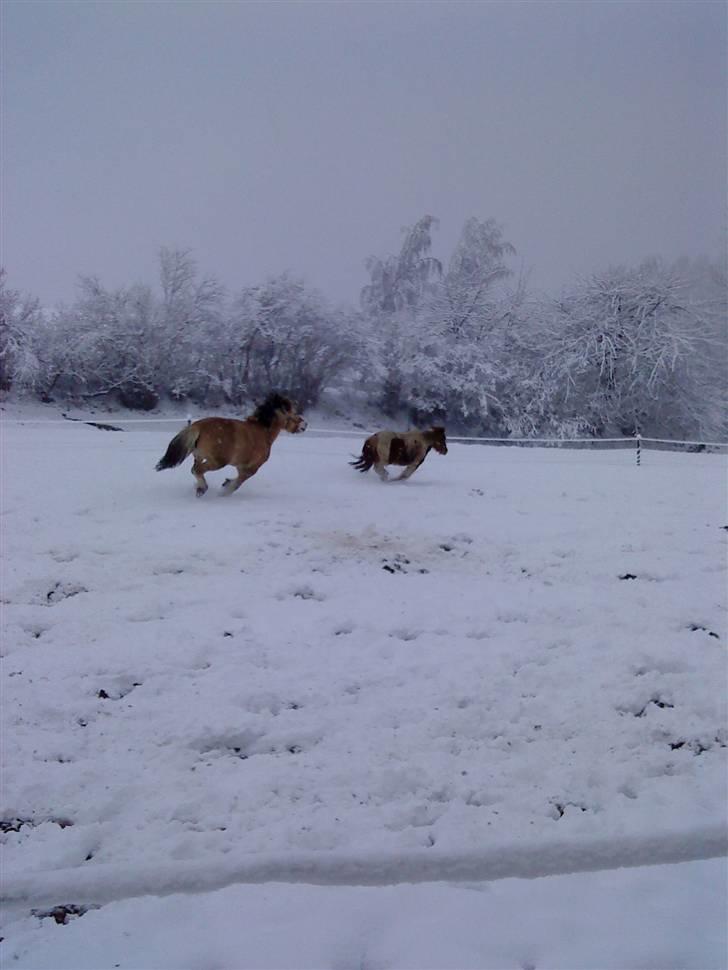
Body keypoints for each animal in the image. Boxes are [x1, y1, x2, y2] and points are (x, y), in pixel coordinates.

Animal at [156, 396, 308, 500]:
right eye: (294, 413)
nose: (305, 424)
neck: (263, 432)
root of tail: (196, 426)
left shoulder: (240, 467)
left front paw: (225, 483)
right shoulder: (250, 468)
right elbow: (239, 482)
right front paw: (225, 490)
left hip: (198, 456)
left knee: (194, 469)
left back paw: (199, 489)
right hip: (218, 462)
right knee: (197, 470)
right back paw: (203, 488)